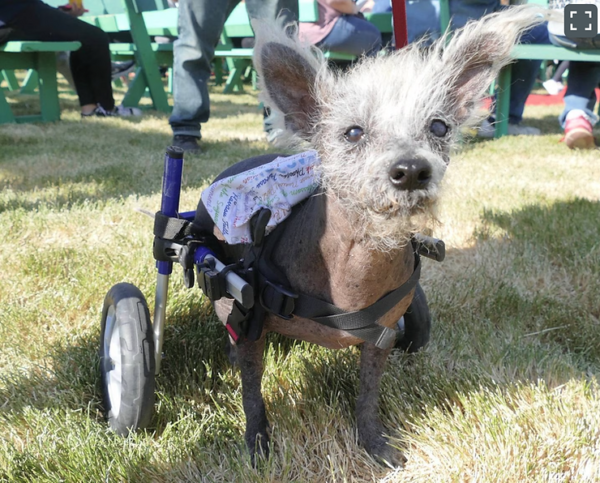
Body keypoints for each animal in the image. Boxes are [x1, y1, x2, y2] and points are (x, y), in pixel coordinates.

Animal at [197, 5, 548, 466]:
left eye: (438, 127)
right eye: (352, 132)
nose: (412, 169)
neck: (355, 268)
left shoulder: (381, 339)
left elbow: (367, 396)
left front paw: (374, 444)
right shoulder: (250, 325)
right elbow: (252, 393)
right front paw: (257, 446)